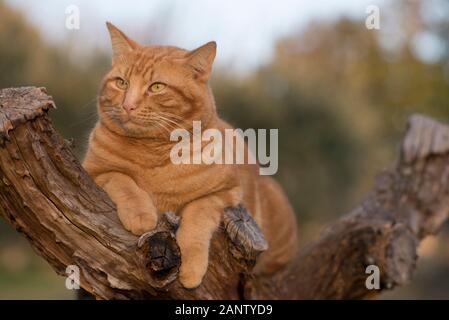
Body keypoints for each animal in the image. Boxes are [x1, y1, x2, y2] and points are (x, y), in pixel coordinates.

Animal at [83, 21, 298, 288]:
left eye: (157, 87)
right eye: (121, 83)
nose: (128, 105)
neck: (153, 153)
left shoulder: (226, 193)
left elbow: (197, 216)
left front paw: (191, 268)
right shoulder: (93, 171)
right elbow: (122, 180)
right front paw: (140, 214)